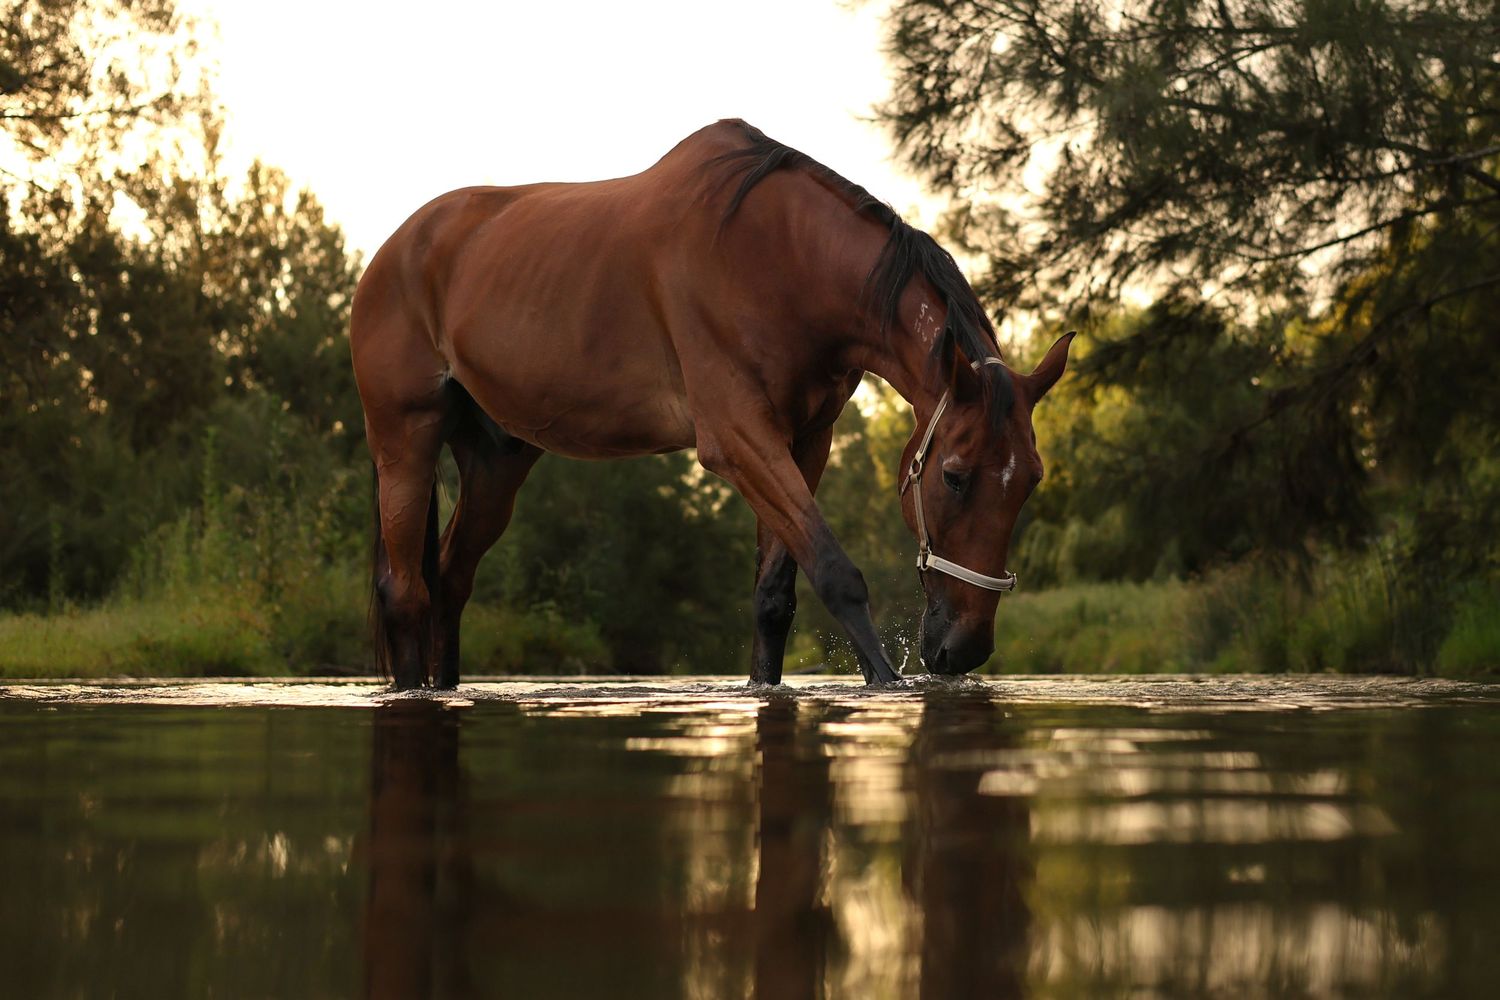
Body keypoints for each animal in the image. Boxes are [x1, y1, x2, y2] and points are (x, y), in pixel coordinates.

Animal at [351, 119, 1072, 690]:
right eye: (954, 476)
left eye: (1032, 480)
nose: (964, 649)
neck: (779, 257)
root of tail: (393, 251)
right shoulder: (738, 438)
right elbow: (835, 572)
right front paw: (887, 684)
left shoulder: (805, 440)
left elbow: (774, 598)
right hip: (405, 441)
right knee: (407, 592)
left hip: (496, 462)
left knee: (450, 581)